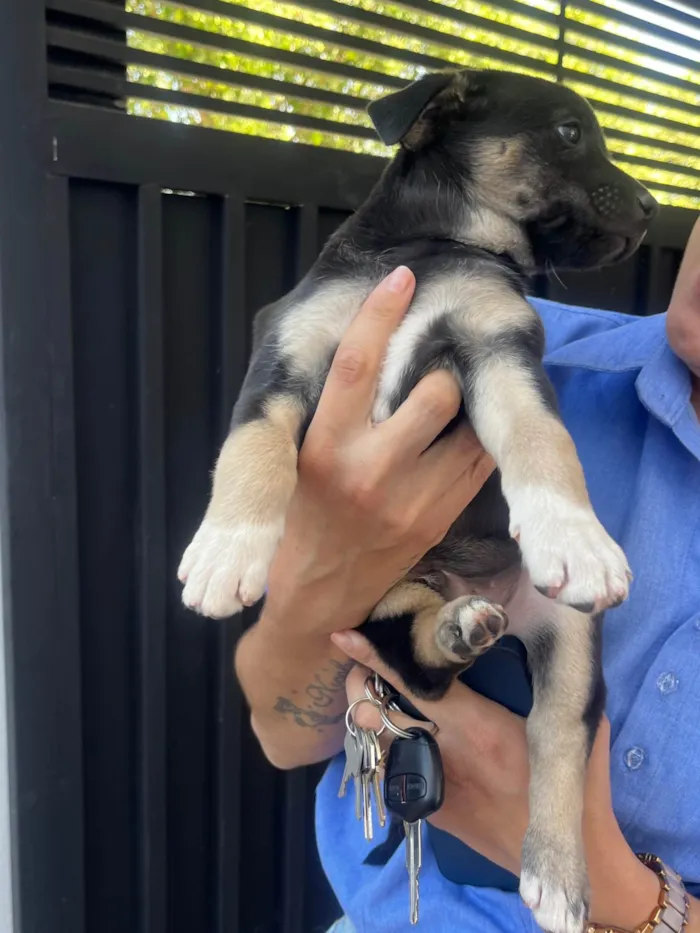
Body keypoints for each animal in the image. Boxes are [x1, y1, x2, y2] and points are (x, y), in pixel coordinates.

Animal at [178, 67, 660, 932]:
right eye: (570, 132)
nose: (653, 208)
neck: (435, 246)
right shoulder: (286, 350)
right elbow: (252, 446)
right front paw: (227, 547)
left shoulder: (500, 348)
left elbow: (543, 439)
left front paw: (574, 534)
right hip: (370, 601)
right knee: (417, 658)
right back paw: (457, 626)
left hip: (567, 634)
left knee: (554, 734)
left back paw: (558, 872)